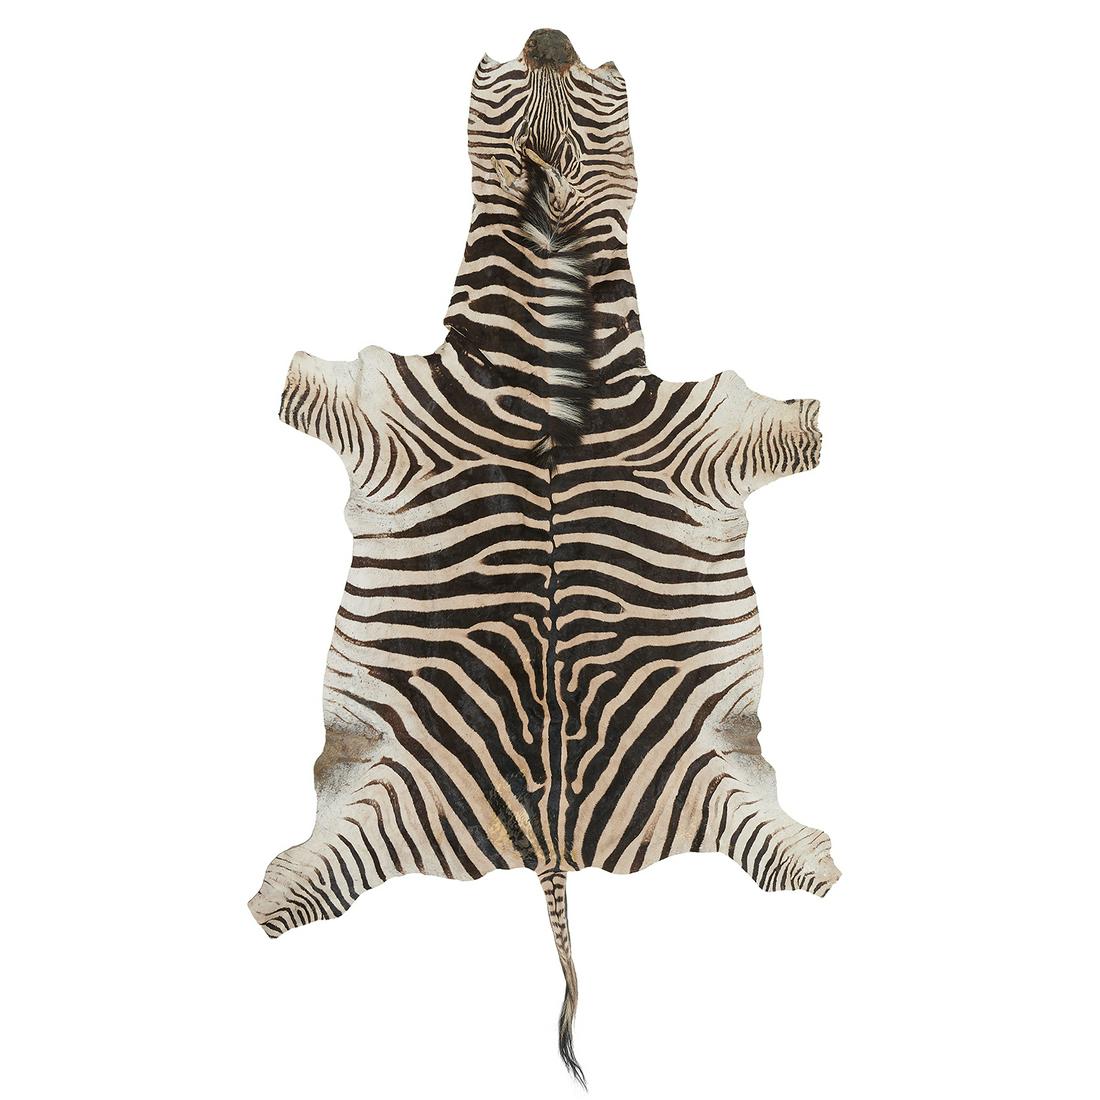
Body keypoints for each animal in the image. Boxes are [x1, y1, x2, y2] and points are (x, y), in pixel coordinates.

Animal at [250, 28, 839, 1085]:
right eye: (502, 83)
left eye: (600, 96)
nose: (550, 36)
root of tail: (551, 844)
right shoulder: (386, 414)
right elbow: (305, 386)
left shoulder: (707, 435)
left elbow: (787, 429)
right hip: (380, 795)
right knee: (307, 888)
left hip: (714, 778)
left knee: (784, 862)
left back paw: (817, 858)